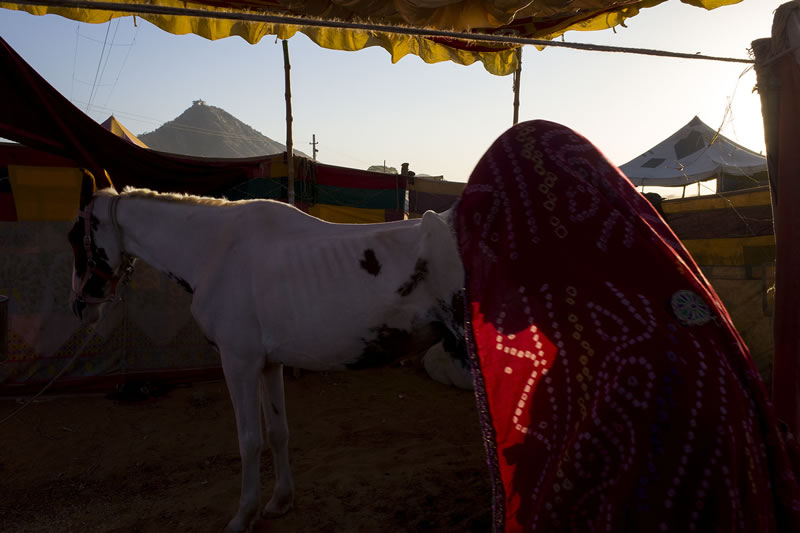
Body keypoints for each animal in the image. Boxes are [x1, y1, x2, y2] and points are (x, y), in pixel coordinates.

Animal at [69, 179, 468, 532]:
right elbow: (277, 432)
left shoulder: (239, 365)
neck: (216, 249)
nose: (80, 308)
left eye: (76, 236)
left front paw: (244, 516)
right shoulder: (268, 365)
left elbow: (249, 440)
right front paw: (280, 501)